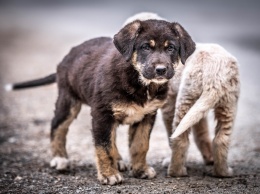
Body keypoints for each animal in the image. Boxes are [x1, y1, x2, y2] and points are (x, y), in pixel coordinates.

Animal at [6, 19, 195, 185]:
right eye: (146, 47)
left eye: (171, 48)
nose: (161, 70)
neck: (140, 82)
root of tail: (66, 58)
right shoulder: (101, 114)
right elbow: (103, 147)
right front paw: (108, 175)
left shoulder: (146, 115)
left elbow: (140, 145)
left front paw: (140, 170)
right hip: (68, 101)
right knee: (57, 126)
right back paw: (60, 158)